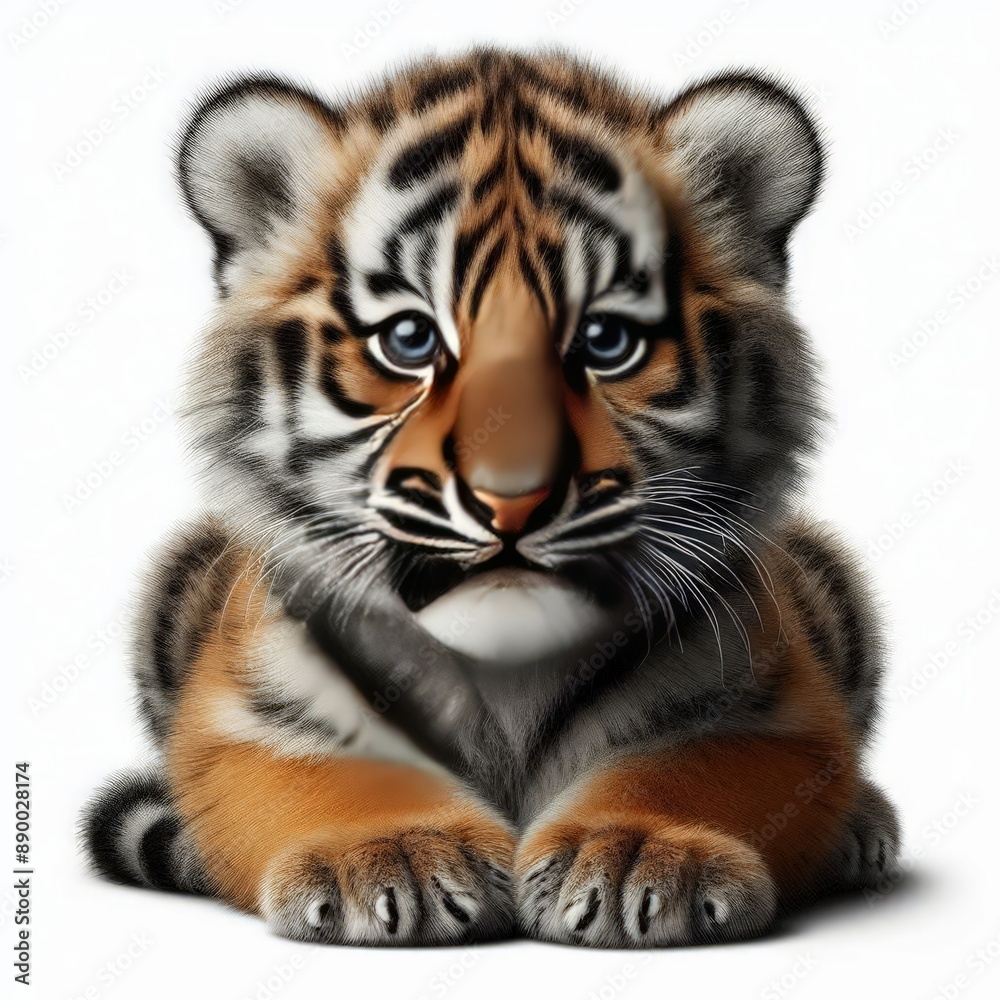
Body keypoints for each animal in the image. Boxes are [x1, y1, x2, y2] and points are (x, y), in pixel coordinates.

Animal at [82, 48, 900, 948]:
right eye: (410, 340)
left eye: (605, 342)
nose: (513, 498)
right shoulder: (248, 711)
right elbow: (331, 770)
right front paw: (393, 853)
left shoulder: (769, 705)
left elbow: (685, 767)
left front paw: (637, 853)